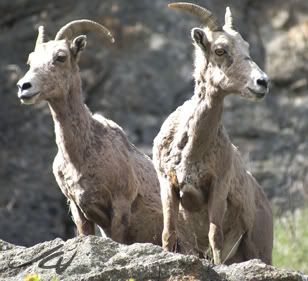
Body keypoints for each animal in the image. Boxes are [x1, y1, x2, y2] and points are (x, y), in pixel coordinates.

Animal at [16, 19, 162, 244]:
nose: (24, 87)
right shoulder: (78, 208)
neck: (81, 156)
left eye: (61, 57)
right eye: (30, 60)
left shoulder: (120, 205)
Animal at [153, 3, 274, 264]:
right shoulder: (168, 184)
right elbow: (168, 234)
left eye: (246, 47)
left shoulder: (218, 186)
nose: (262, 82)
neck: (191, 152)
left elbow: (214, 236)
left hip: (259, 248)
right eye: (220, 50)